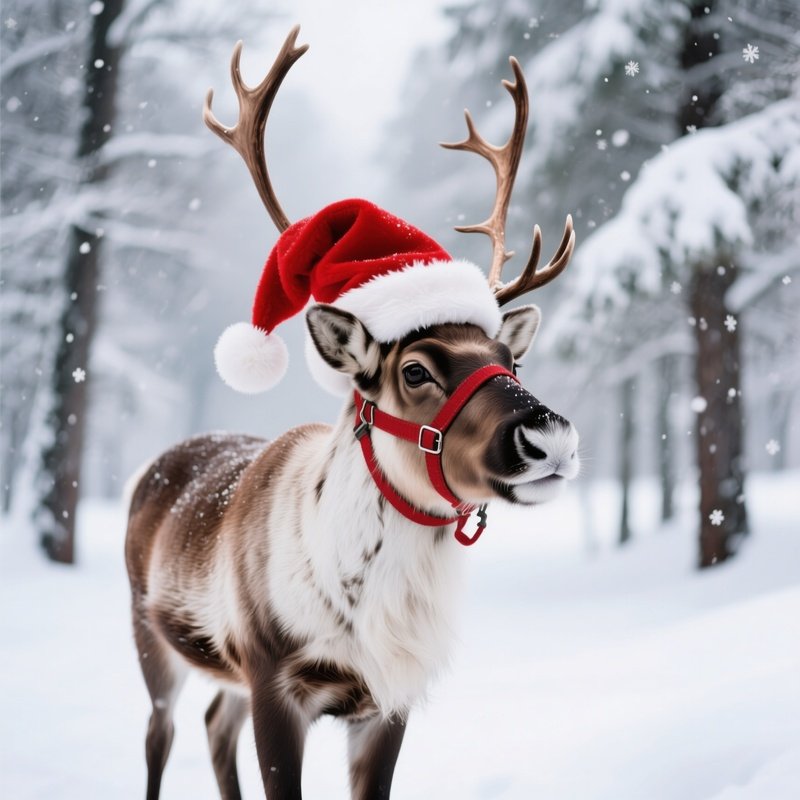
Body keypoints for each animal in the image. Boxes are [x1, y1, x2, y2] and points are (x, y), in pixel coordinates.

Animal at [125, 26, 579, 800]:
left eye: (509, 360)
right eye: (416, 369)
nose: (548, 436)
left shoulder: (388, 698)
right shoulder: (273, 675)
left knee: (215, 722)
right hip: (151, 634)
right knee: (160, 733)